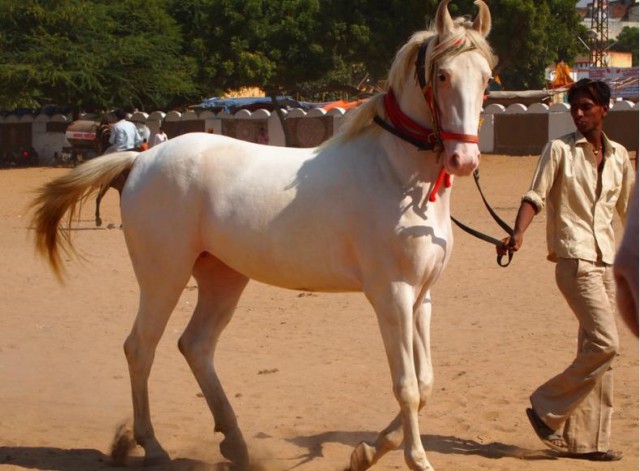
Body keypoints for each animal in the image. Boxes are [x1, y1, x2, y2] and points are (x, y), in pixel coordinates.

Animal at [31, 1, 496, 470]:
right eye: (442, 75)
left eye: (486, 77)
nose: (464, 159)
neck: (397, 177)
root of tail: (140, 161)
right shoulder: (392, 296)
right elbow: (407, 386)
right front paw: (414, 458)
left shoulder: (421, 298)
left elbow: (426, 383)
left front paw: (367, 450)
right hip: (163, 278)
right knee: (141, 348)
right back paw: (154, 446)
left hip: (222, 278)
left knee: (195, 345)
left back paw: (234, 443)